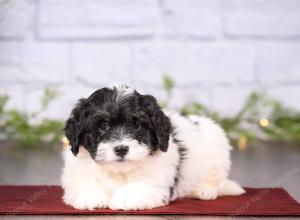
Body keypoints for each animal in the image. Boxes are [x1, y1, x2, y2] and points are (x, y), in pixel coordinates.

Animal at [61, 82, 244, 210]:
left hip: (217, 150)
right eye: (102, 126)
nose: (121, 149)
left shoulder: (156, 179)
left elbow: (142, 186)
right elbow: (83, 183)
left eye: (136, 125)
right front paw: (90, 196)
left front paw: (126, 198)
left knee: (214, 179)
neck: (119, 172)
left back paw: (204, 190)